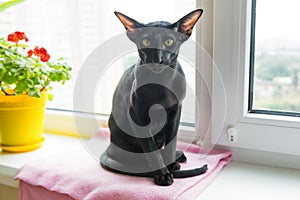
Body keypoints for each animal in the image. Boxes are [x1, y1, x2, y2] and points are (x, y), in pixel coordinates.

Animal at [99, 8, 207, 185]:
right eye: (146, 42)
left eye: (169, 42)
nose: (158, 59)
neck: (161, 82)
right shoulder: (137, 116)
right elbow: (151, 150)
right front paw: (163, 175)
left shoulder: (175, 111)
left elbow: (171, 142)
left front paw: (170, 165)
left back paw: (177, 159)